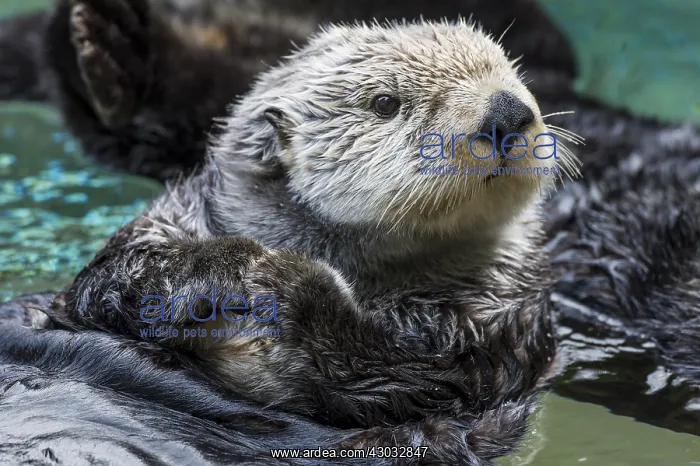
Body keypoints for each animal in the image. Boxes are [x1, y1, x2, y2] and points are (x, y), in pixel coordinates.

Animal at [32, 18, 579, 463]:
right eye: (385, 103)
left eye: (510, 72)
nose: (507, 108)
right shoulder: (165, 224)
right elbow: (105, 281)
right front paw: (220, 270)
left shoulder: (498, 328)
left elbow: (406, 379)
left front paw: (281, 283)